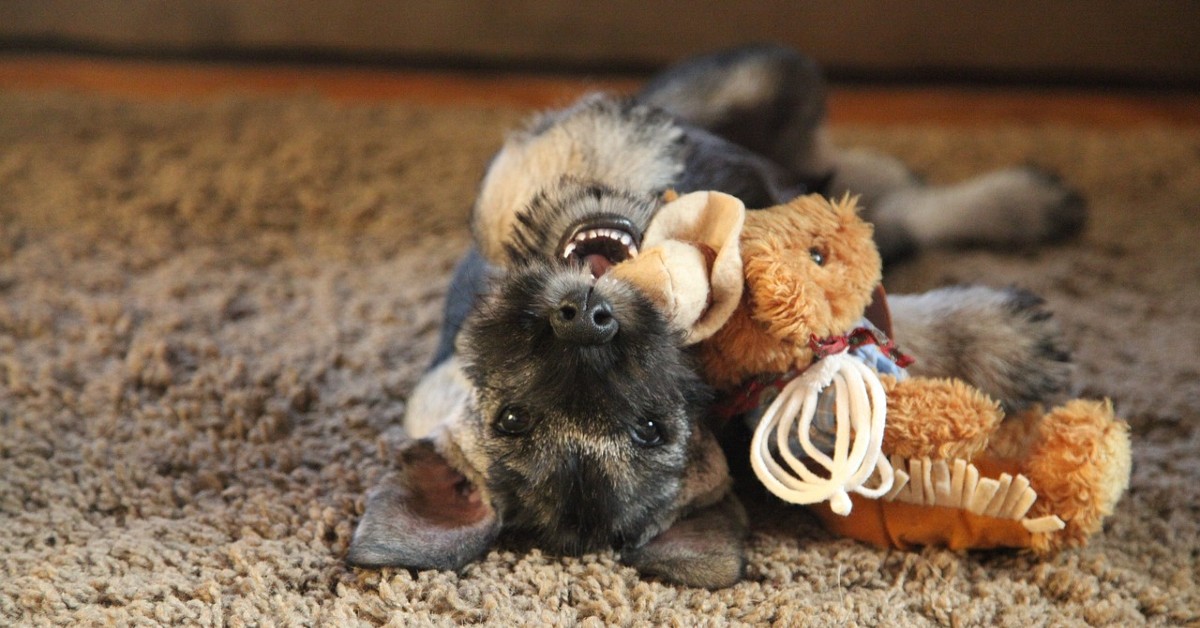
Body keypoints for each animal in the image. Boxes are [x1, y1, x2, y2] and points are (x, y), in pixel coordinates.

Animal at [345, 45, 1080, 590]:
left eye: (648, 429)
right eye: (511, 421)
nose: (585, 318)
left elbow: (524, 187)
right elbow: (852, 340)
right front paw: (997, 343)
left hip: (762, 75)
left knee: (864, 178)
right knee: (894, 220)